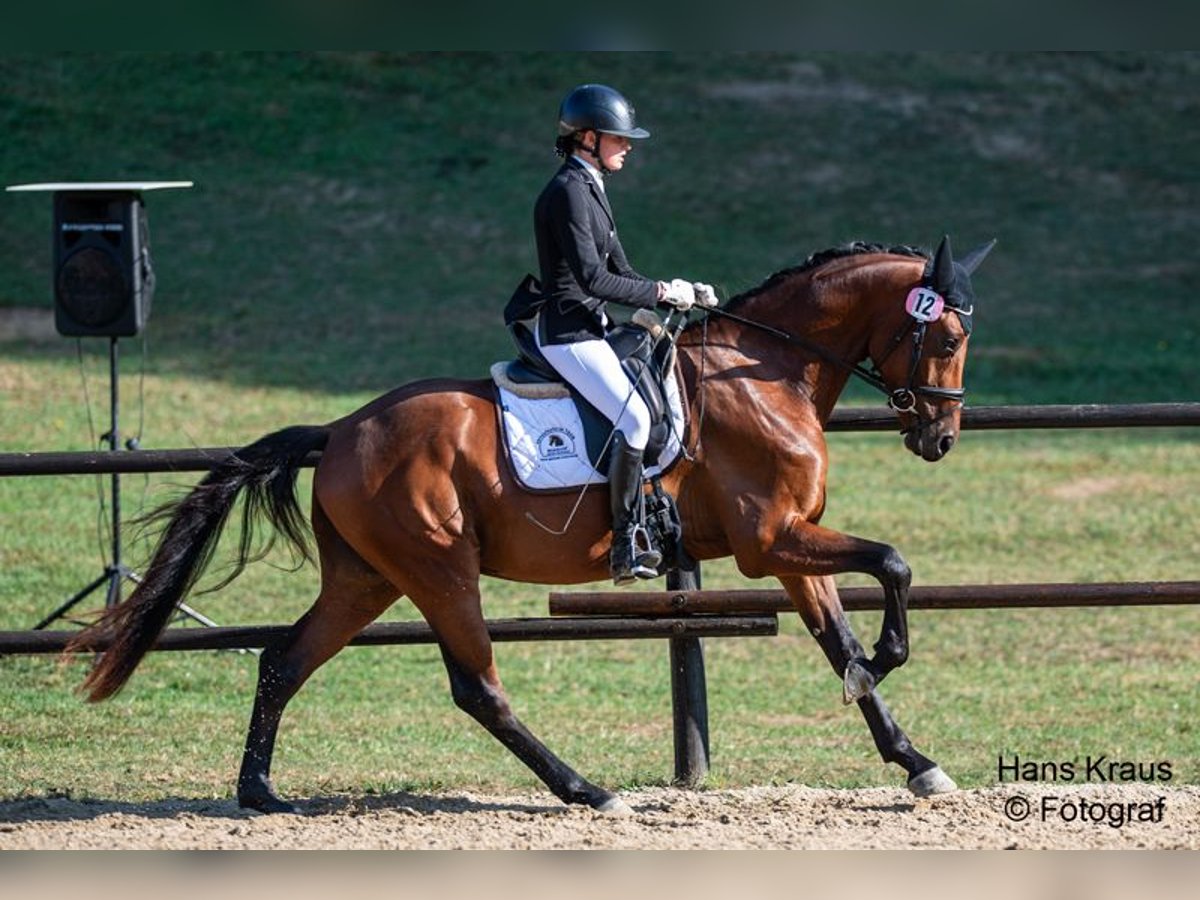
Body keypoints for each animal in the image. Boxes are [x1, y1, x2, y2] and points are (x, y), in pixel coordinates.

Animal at [70, 232, 998, 816]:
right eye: (947, 338)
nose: (941, 437)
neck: (766, 370)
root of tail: (339, 431)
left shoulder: (788, 546)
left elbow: (840, 638)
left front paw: (916, 761)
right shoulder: (769, 541)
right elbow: (895, 563)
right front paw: (887, 658)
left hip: (368, 579)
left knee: (284, 660)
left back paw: (260, 793)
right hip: (439, 569)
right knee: (478, 687)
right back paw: (586, 790)